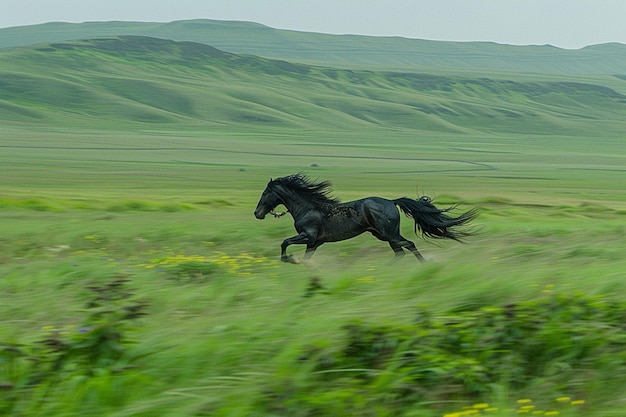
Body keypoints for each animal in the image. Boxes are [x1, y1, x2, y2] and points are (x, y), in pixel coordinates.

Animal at [251, 174, 476, 262]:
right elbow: (306, 257)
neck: (307, 208)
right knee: (400, 252)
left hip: (388, 234)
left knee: (409, 245)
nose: (257, 214)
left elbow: (284, 242)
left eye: (265, 193)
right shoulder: (314, 243)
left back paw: (424, 264)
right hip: (384, 235)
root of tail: (391, 201)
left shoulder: (309, 236)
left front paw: (288, 260)